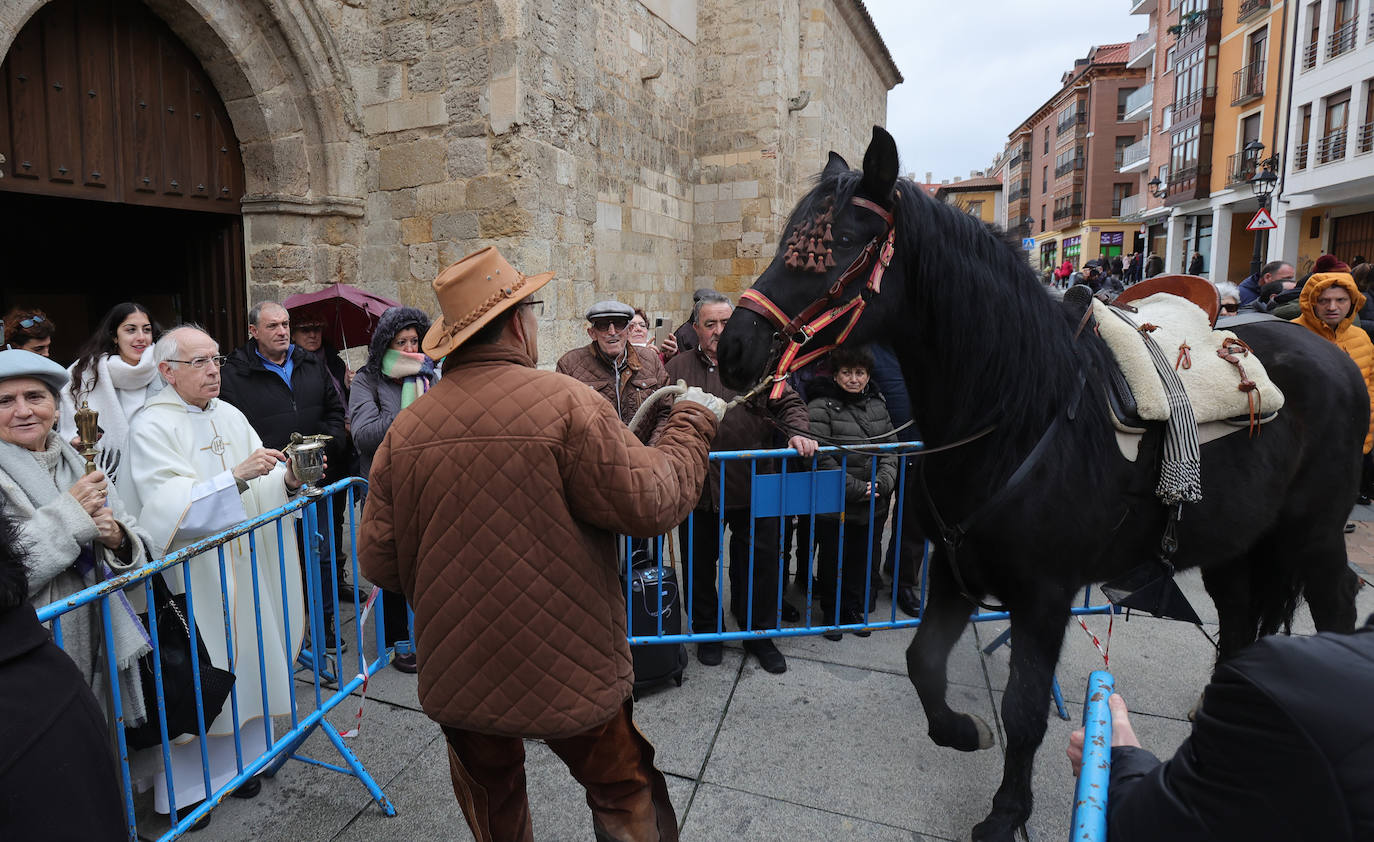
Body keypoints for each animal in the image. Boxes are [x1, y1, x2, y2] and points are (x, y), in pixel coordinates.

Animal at [719, 126, 1363, 840]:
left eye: (833, 248)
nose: (732, 349)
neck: (1016, 413)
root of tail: (1332, 355)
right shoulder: (957, 572)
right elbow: (924, 663)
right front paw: (962, 733)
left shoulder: (1045, 597)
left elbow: (1024, 708)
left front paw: (1007, 811)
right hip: (1233, 542)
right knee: (1242, 614)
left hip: (1312, 535)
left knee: (1335, 606)